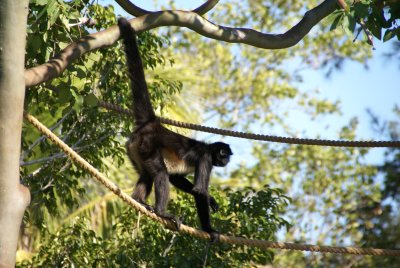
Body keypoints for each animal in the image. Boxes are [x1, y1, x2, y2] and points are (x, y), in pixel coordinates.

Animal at [117, 18, 233, 241]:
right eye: (223, 153)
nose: (226, 160)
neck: (208, 148)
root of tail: (152, 123)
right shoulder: (206, 157)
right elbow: (198, 190)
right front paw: (209, 229)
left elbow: (177, 178)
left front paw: (212, 201)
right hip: (147, 144)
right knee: (160, 173)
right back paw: (162, 212)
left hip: (135, 149)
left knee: (148, 174)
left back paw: (140, 201)